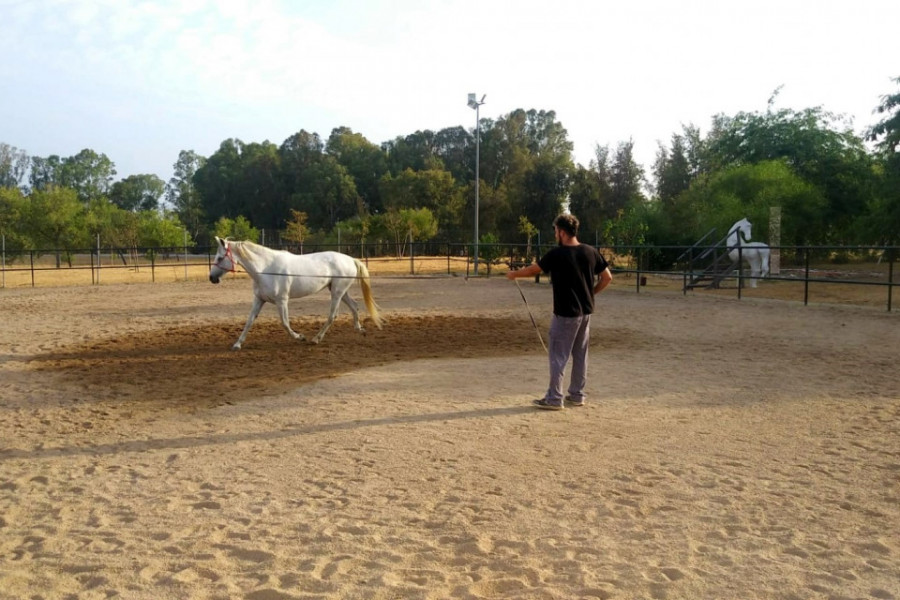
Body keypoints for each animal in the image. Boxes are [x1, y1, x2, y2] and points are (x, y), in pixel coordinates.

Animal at [209, 234, 382, 346]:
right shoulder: (259, 299)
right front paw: (237, 344)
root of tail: (351, 259)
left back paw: (315, 339)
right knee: (354, 306)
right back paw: (360, 330)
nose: (212, 278)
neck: (266, 269)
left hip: (337, 292)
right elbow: (249, 321)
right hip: (340, 291)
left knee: (333, 315)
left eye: (219, 258)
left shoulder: (282, 301)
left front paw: (300, 337)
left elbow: (285, 323)